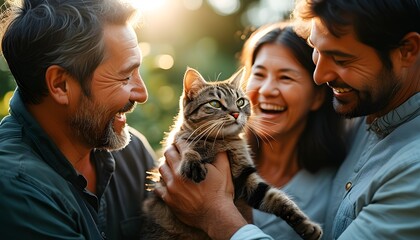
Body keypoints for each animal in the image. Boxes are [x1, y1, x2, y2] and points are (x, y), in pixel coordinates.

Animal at [141, 67, 322, 240]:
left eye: (240, 102)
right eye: (215, 103)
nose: (235, 113)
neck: (222, 142)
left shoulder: (246, 178)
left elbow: (278, 199)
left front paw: (306, 225)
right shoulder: (176, 151)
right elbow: (190, 148)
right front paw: (193, 162)